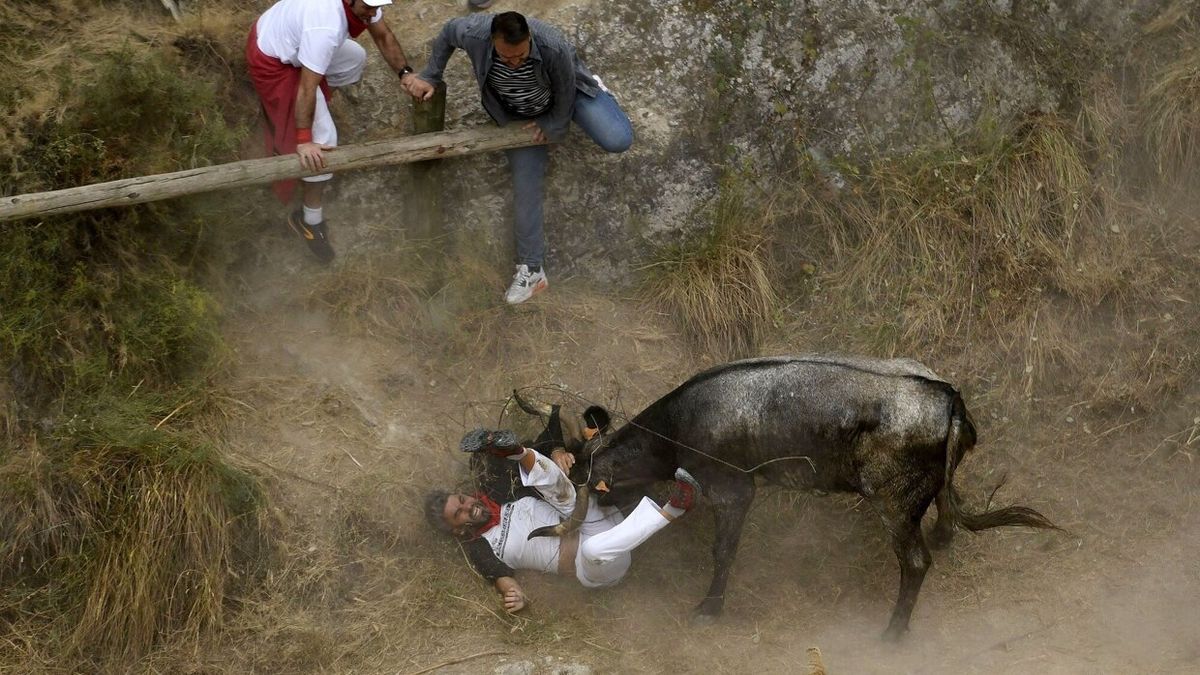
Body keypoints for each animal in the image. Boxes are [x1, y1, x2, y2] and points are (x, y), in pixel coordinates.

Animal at [529, 354, 1059, 640]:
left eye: (606, 486)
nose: (605, 510)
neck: (676, 426)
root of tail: (947, 398)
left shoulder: (733, 489)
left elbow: (723, 550)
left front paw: (709, 609)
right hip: (924, 490)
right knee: (945, 510)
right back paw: (943, 537)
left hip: (889, 500)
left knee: (915, 561)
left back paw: (891, 635)